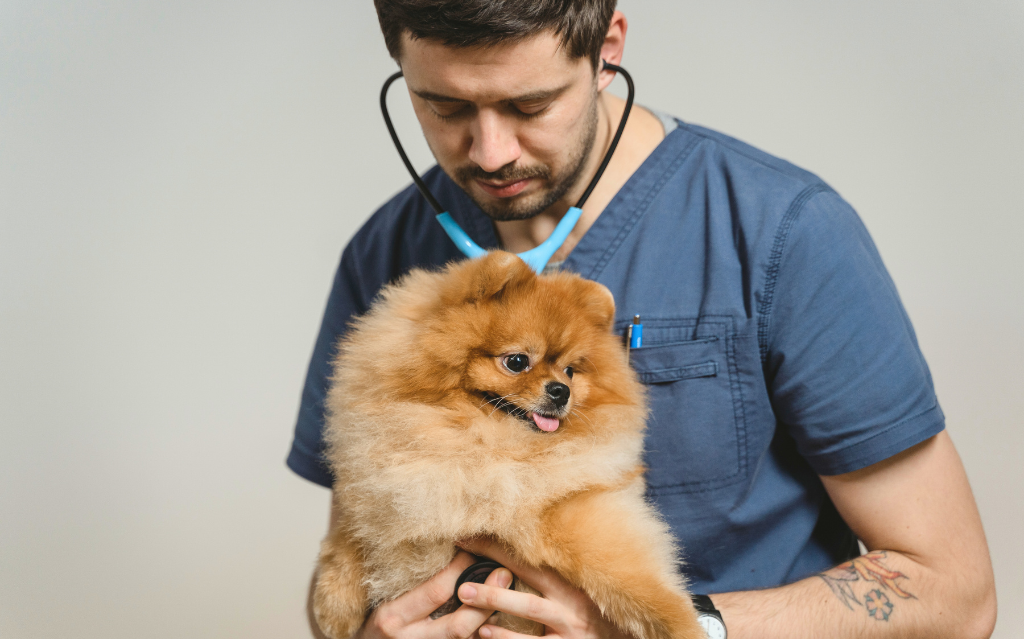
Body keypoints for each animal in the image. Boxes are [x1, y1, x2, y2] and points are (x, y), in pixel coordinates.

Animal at [311, 250, 704, 639]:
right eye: (517, 362)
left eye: (571, 371)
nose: (562, 391)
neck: (486, 447)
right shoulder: (382, 491)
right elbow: (351, 534)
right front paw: (334, 604)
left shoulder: (571, 507)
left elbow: (627, 575)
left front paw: (684, 627)